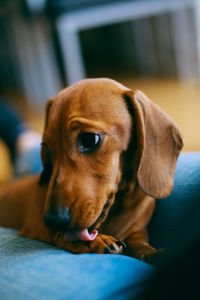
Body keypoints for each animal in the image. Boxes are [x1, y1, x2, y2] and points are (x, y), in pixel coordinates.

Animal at [0, 78, 183, 258]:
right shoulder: (34, 224)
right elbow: (59, 234)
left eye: (90, 139)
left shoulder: (138, 230)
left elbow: (140, 244)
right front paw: (96, 241)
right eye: (47, 149)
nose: (53, 220)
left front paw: (152, 253)